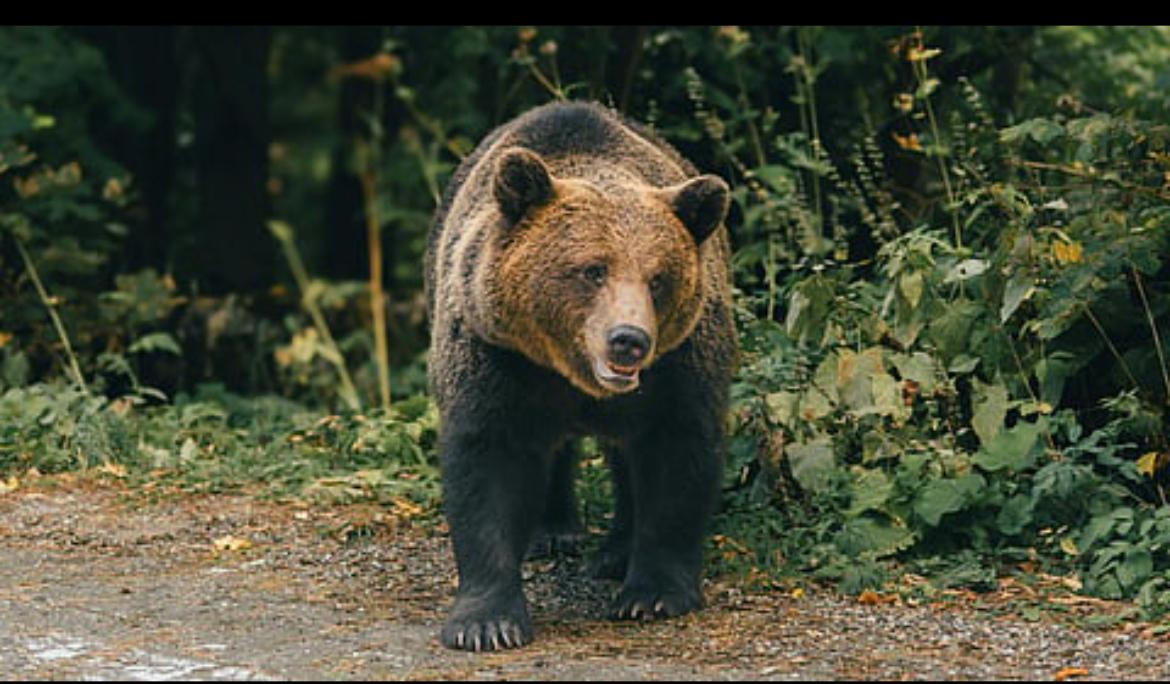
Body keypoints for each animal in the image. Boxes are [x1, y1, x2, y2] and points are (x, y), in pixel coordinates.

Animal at [424, 100, 736, 652]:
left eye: (658, 278)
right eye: (592, 269)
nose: (629, 339)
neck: (570, 372)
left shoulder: (679, 367)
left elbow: (677, 458)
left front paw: (652, 594)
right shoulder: (496, 357)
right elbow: (487, 465)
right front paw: (486, 622)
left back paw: (614, 553)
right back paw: (553, 532)